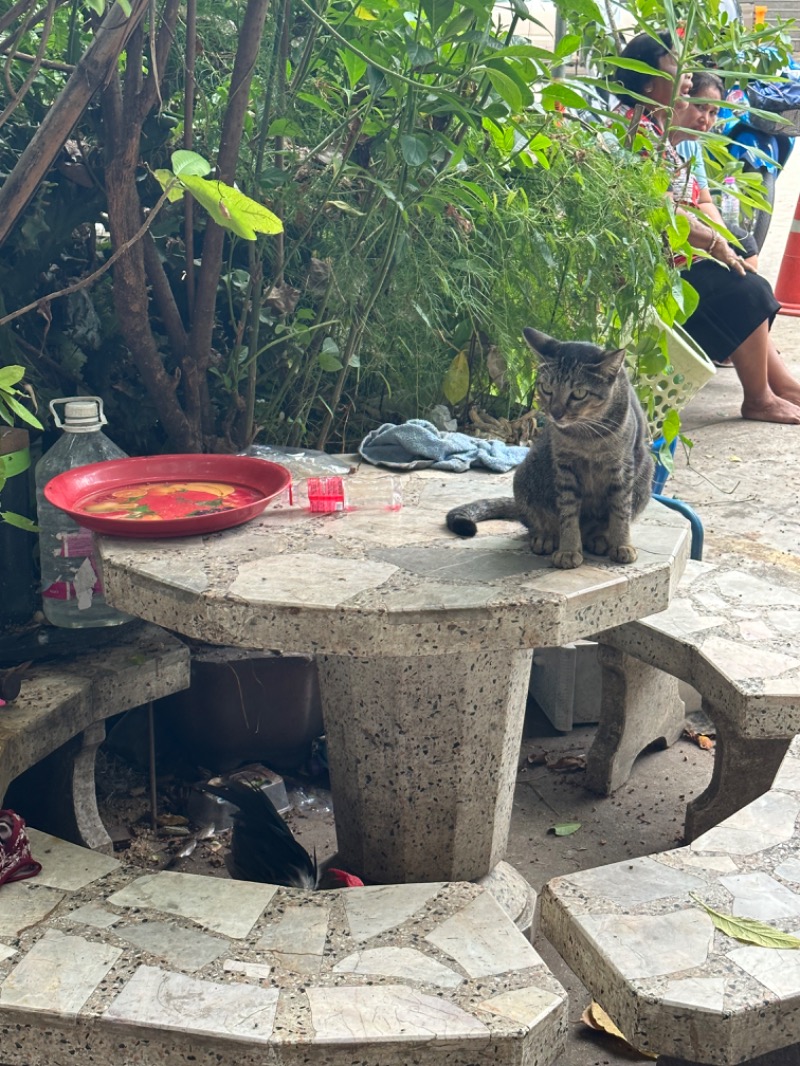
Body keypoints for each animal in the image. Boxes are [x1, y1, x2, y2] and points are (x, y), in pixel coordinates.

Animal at [448, 328, 652, 571]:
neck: (586, 436)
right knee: (536, 521)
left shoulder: (622, 466)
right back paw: (546, 537)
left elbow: (620, 510)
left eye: (579, 393)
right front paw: (569, 550)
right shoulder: (565, 467)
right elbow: (568, 514)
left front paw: (622, 544)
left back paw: (599, 539)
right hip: (526, 475)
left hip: (646, 475)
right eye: (546, 388)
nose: (555, 413)